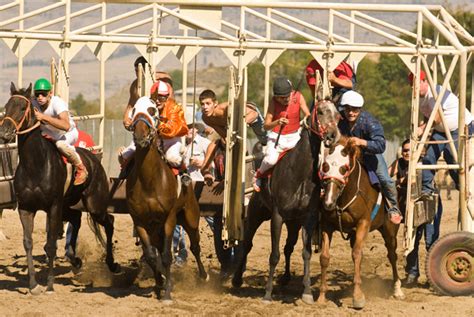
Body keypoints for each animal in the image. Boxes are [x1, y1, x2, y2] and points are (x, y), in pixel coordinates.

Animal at [0, 83, 118, 294]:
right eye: (6, 107)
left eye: (22, 108)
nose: (4, 133)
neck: (35, 165)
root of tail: (94, 159)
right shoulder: (26, 208)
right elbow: (28, 243)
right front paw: (33, 285)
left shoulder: (53, 207)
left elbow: (50, 245)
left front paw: (49, 284)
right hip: (68, 205)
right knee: (76, 219)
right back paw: (75, 259)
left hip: (94, 204)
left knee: (109, 221)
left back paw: (112, 264)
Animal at [127, 94, 206, 302]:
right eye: (134, 109)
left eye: (152, 110)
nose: (140, 135)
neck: (149, 181)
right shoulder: (140, 221)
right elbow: (151, 255)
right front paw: (160, 282)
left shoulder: (169, 219)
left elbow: (166, 256)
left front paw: (168, 293)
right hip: (155, 228)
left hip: (190, 217)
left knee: (195, 246)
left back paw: (204, 276)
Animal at [316, 137, 406, 308]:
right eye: (325, 166)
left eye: (344, 168)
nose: (328, 202)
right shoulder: (326, 226)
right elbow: (324, 257)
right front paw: (321, 297)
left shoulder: (363, 224)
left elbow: (357, 254)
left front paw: (357, 297)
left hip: (390, 232)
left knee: (392, 255)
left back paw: (397, 290)